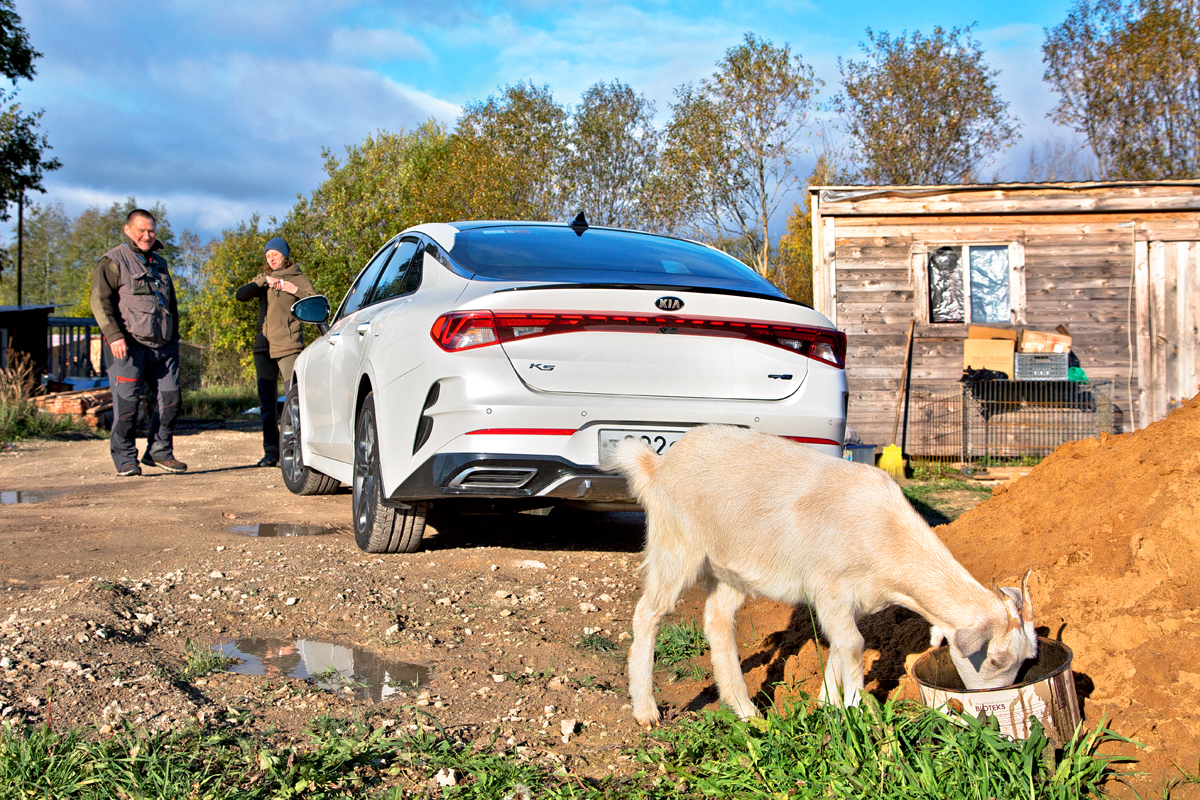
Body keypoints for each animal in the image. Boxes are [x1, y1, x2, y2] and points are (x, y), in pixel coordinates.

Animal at [604, 424, 1036, 724]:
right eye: (994, 660)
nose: (989, 708)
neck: (887, 534)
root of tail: (658, 464)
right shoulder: (830, 588)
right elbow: (854, 646)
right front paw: (859, 712)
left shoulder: (849, 601)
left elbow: (841, 647)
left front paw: (829, 706)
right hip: (676, 545)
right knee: (648, 614)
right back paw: (645, 710)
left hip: (730, 568)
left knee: (717, 620)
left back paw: (745, 709)